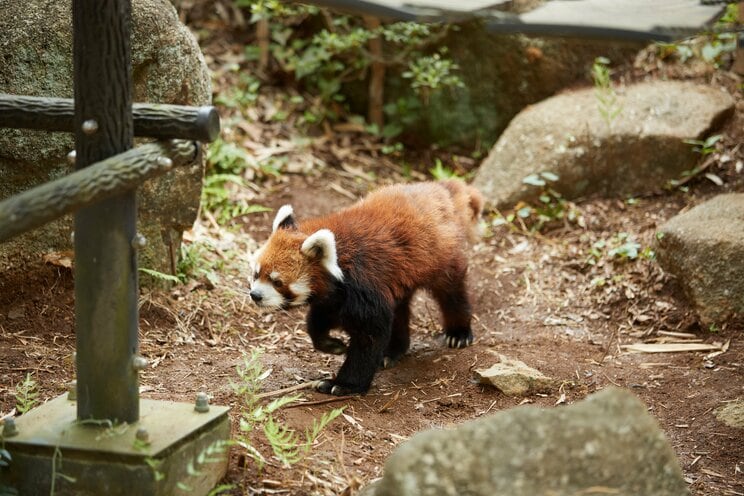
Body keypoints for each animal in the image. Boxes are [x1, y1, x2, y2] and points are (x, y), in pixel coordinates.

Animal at [248, 181, 482, 396]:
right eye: (256, 274)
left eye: (277, 282)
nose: (255, 295)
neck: (340, 261)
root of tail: (439, 189)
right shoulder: (336, 297)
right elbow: (319, 319)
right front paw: (331, 344)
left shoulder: (363, 286)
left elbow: (369, 336)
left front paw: (342, 384)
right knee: (398, 309)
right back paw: (392, 351)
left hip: (440, 257)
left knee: (451, 291)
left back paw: (458, 332)